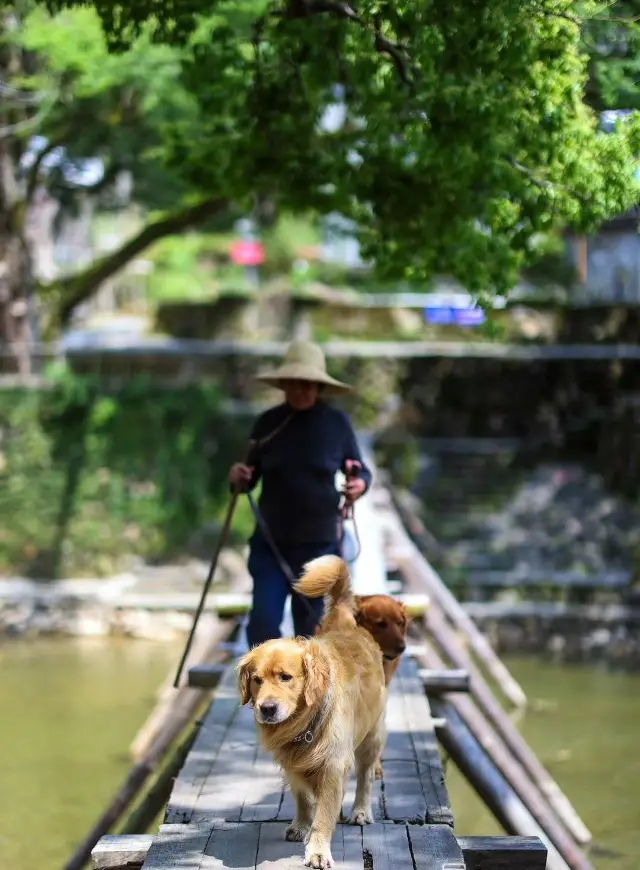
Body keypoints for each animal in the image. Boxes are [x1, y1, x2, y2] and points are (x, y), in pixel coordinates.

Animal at [235, 560, 384, 870]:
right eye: (256, 680)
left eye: (285, 677)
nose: (267, 709)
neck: (304, 722)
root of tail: (347, 626)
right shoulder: (293, 764)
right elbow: (303, 798)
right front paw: (301, 825)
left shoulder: (333, 764)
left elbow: (324, 816)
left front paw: (317, 851)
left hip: (372, 736)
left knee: (365, 776)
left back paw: (361, 810)